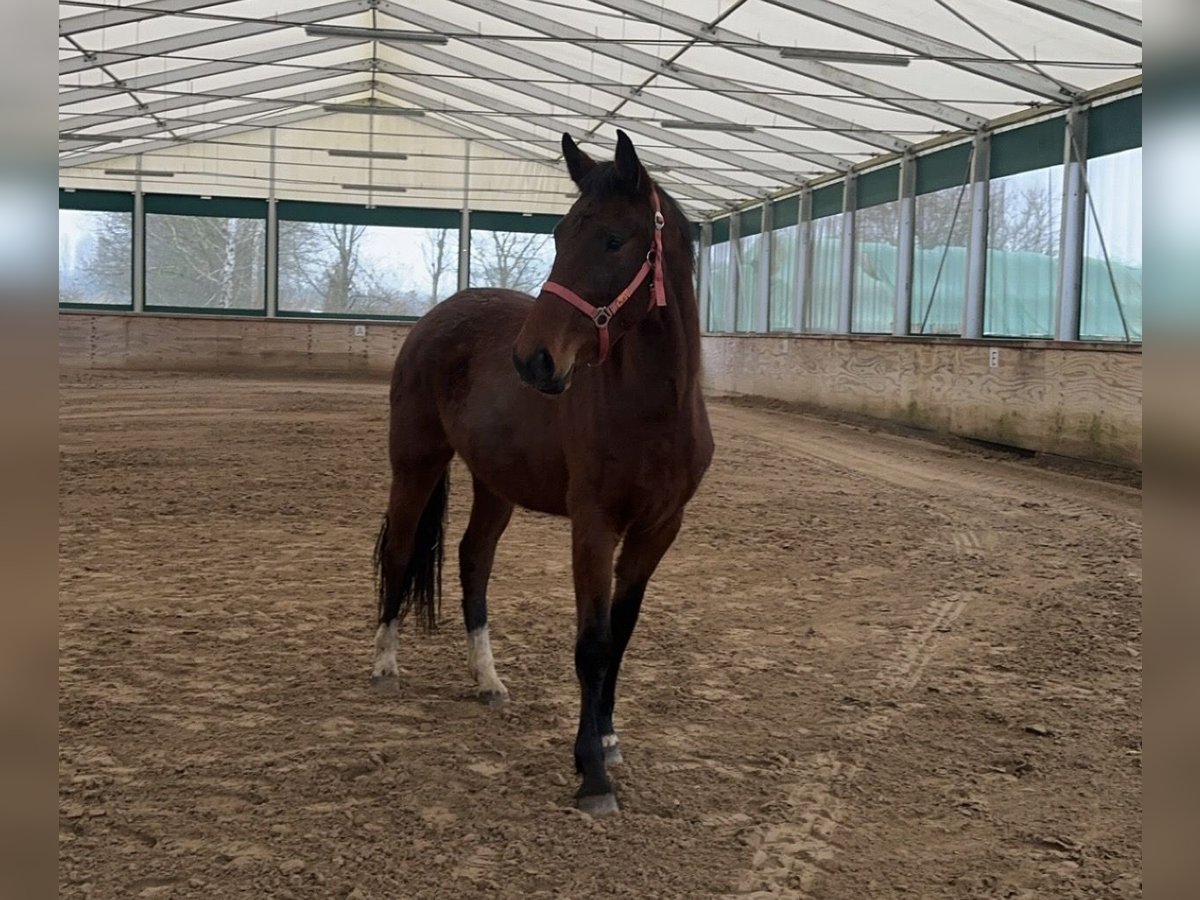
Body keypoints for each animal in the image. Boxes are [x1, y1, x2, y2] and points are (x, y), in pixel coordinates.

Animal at [372, 128, 710, 816]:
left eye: (613, 239)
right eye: (557, 234)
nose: (534, 360)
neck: (653, 411)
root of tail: (436, 318)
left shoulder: (658, 529)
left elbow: (622, 636)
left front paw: (606, 739)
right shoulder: (594, 525)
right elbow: (593, 644)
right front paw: (592, 775)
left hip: (496, 483)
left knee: (473, 560)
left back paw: (488, 681)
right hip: (415, 463)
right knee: (399, 549)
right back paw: (386, 666)